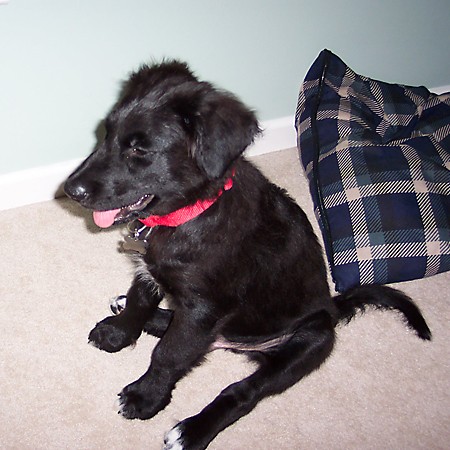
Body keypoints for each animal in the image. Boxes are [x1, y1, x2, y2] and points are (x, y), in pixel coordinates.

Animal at [64, 60, 432, 450]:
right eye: (106, 133)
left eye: (139, 150)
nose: (70, 190)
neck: (189, 213)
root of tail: (332, 309)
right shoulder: (154, 273)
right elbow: (140, 300)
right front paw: (119, 332)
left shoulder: (204, 309)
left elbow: (169, 355)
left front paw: (146, 397)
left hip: (309, 342)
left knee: (240, 392)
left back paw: (192, 431)